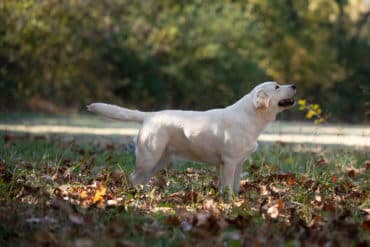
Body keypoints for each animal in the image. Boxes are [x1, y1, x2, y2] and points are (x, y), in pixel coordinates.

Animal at [86, 82, 294, 194]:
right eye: (277, 86)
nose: (294, 85)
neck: (250, 115)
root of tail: (148, 115)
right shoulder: (229, 161)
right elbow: (227, 186)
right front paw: (228, 203)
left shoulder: (238, 162)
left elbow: (235, 186)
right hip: (149, 156)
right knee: (134, 177)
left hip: (160, 159)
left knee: (142, 179)